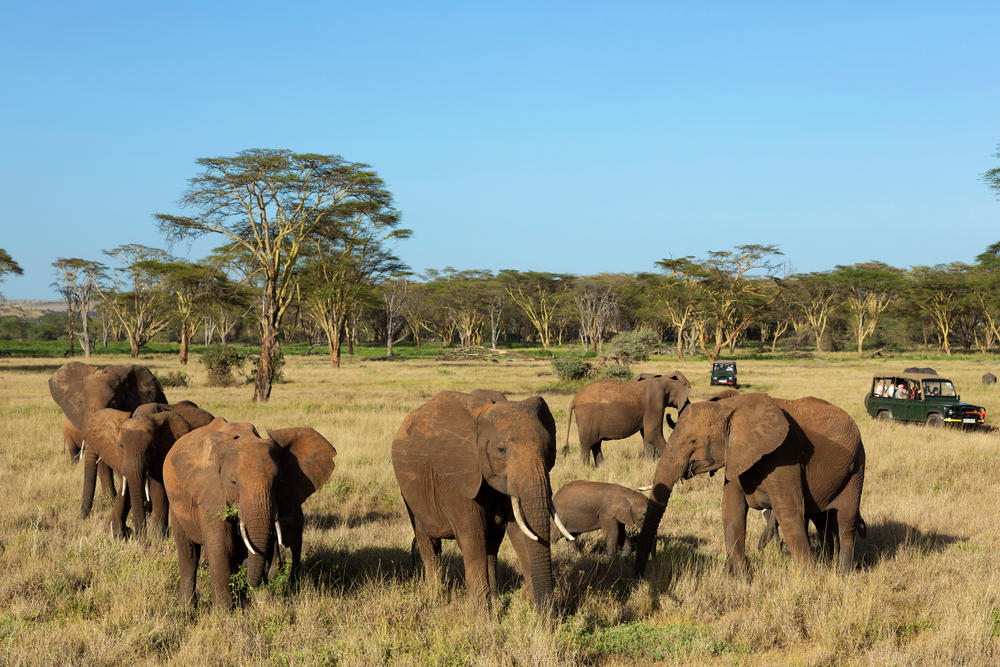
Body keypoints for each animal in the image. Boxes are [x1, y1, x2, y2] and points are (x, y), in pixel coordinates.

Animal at [83, 408, 206, 536]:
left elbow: (158, 488)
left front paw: (157, 537)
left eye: (151, 447)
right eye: (121, 446)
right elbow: (128, 488)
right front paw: (119, 534)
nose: (136, 534)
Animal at [162, 420, 338, 612]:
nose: (260, 584)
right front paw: (224, 613)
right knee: (189, 554)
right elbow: (221, 544)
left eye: (279, 482)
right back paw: (187, 609)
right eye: (233, 482)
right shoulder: (211, 492)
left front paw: (240, 607)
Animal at [394, 392, 576, 612]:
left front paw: (525, 606)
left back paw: (495, 601)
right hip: (410, 494)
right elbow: (473, 536)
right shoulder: (456, 476)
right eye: (501, 449)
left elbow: (520, 531)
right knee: (428, 543)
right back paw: (436, 599)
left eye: (549, 449)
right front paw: (480, 614)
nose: (549, 615)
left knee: (492, 544)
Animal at [640, 394, 868, 576]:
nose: (639, 574)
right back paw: (828, 562)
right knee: (822, 519)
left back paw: (843, 574)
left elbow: (789, 512)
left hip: (857, 467)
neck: (731, 406)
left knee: (845, 520)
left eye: (693, 441)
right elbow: (732, 510)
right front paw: (743, 579)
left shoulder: (784, 454)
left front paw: (810, 579)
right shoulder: (736, 455)